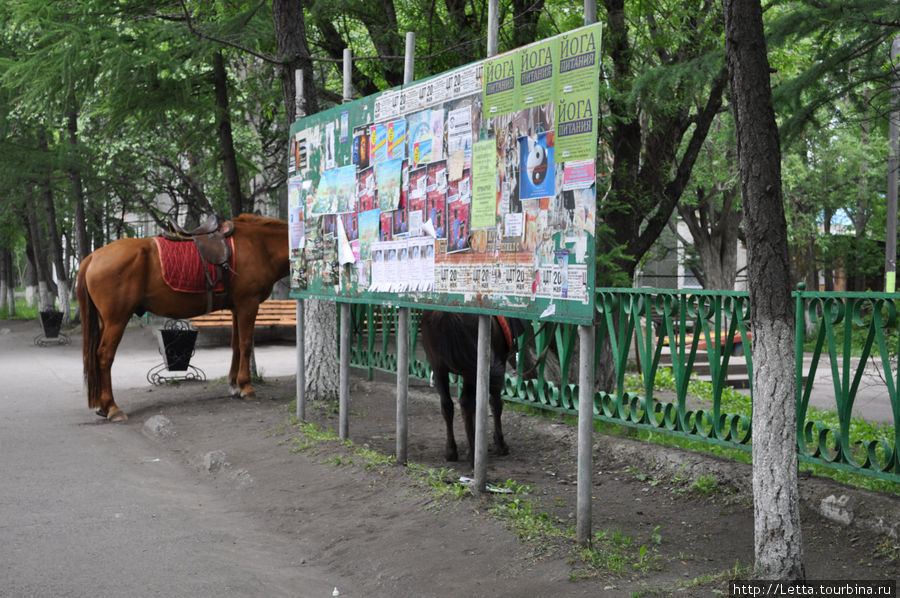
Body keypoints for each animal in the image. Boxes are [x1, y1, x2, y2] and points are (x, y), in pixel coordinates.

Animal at [78, 214, 290, 422]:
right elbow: (246, 345)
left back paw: (103, 406)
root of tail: (93, 256)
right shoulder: (248, 304)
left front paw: (234, 384)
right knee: (104, 355)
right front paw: (246, 387)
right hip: (116, 320)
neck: (260, 245)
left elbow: (236, 345)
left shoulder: (237, 308)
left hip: (104, 322)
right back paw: (113, 408)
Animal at [422, 312, 528, 466]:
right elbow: (495, 404)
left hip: (438, 367)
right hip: (471, 368)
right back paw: (473, 455)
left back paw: (451, 451)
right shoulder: (498, 361)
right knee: (466, 403)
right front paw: (500, 445)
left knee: (447, 405)